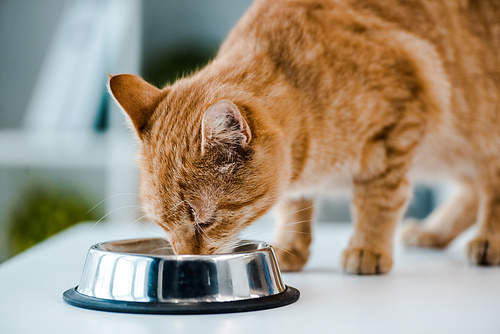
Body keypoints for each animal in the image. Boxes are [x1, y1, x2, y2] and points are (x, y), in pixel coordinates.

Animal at [108, 0, 500, 274]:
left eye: (204, 221)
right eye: (161, 224)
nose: (187, 259)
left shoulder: (398, 129)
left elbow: (378, 200)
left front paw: (368, 247)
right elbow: (293, 204)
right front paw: (290, 246)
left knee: (489, 186)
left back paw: (488, 241)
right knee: (472, 190)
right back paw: (433, 232)